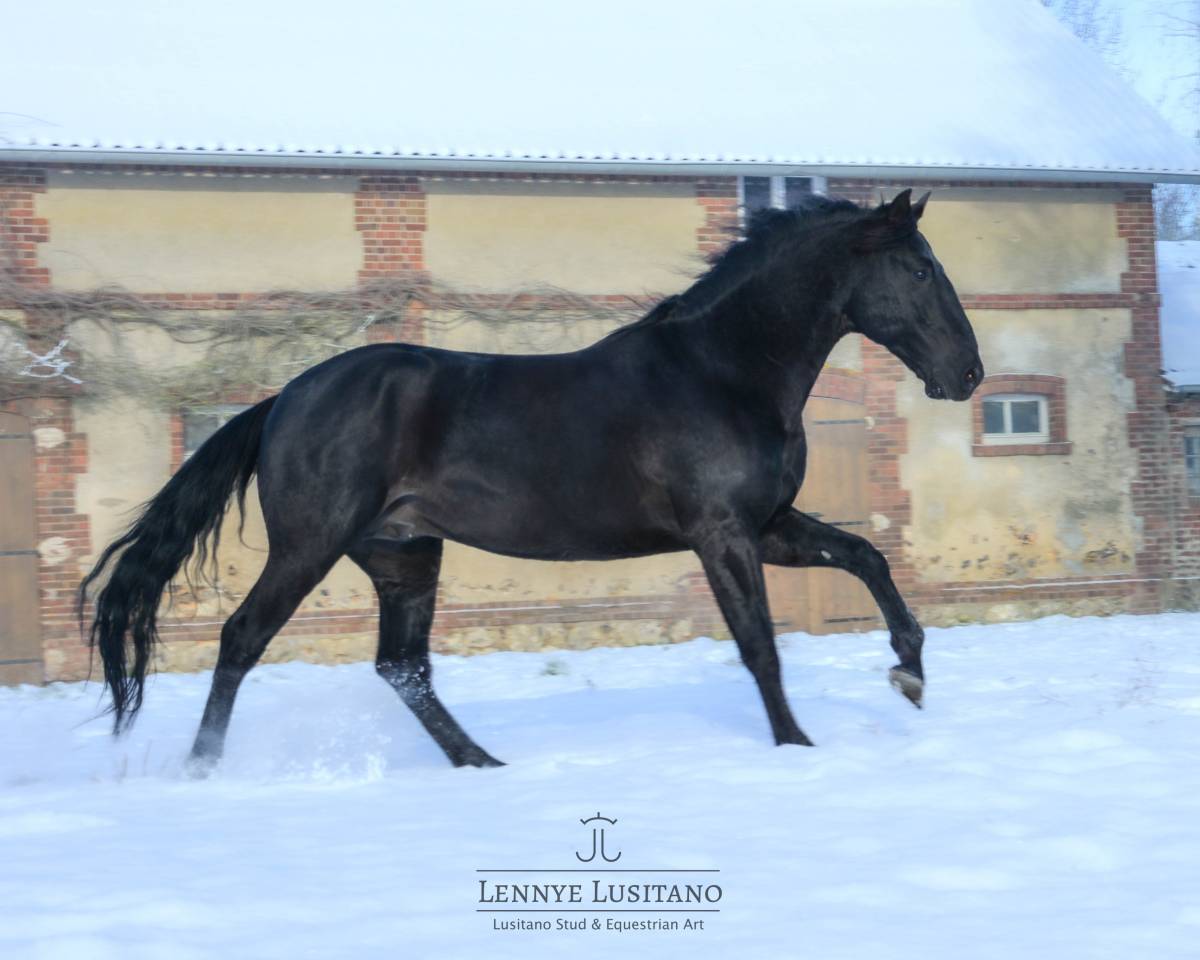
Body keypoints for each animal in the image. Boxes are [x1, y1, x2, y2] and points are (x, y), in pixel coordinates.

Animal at [80, 188, 983, 771]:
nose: (968, 374)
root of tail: (281, 401)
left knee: (402, 667)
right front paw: (796, 746)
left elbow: (867, 557)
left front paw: (909, 673)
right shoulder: (721, 532)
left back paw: (482, 763)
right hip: (311, 545)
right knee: (242, 639)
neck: (720, 371)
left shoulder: (767, 525)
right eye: (921, 270)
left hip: (404, 554)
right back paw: (202, 768)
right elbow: (759, 643)